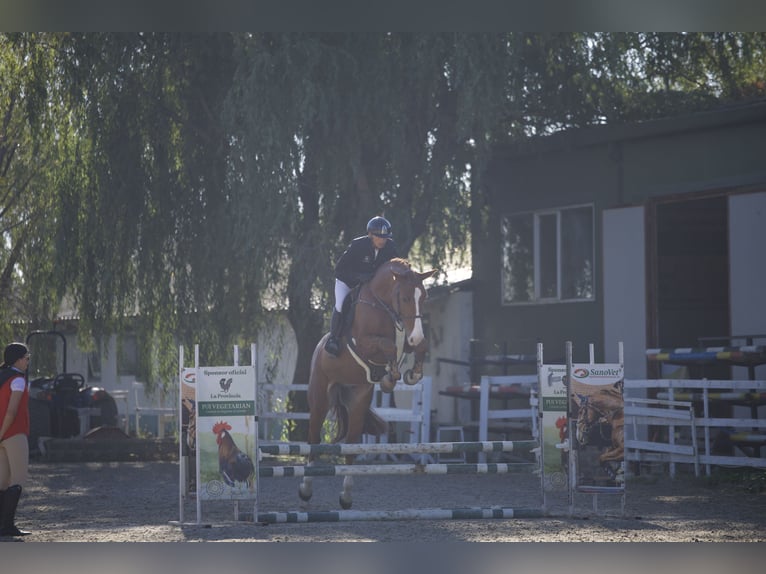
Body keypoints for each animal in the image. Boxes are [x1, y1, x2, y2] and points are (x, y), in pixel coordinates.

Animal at [298, 258, 436, 510]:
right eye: (405, 298)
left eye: (424, 297)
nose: (416, 335)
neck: (384, 305)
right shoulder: (365, 343)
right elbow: (390, 346)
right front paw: (391, 376)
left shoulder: (408, 340)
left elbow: (417, 348)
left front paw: (412, 374)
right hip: (320, 398)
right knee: (313, 441)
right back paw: (305, 489)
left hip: (358, 398)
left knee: (352, 445)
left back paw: (346, 496)